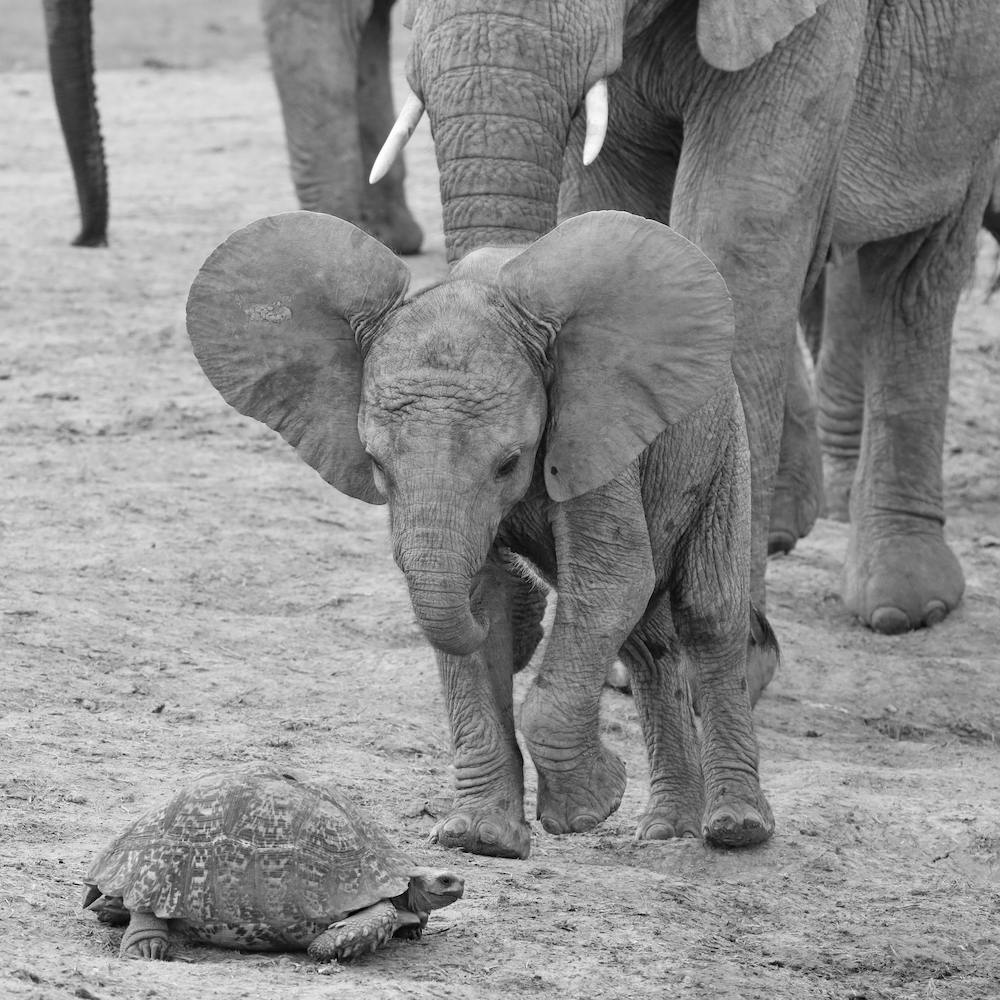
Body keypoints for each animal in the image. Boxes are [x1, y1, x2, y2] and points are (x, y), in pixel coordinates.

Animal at [185, 209, 778, 860]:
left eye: (509, 464)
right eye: (377, 465)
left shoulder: (593, 433)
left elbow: (611, 583)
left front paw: (589, 808)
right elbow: (490, 601)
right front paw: (480, 839)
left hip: (724, 447)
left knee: (705, 615)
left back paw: (736, 828)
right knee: (648, 643)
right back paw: (667, 830)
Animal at [368, 0, 1000, 642]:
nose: (500, 601)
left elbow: (736, 232)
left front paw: (735, 640)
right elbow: (611, 210)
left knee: (916, 274)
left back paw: (906, 605)